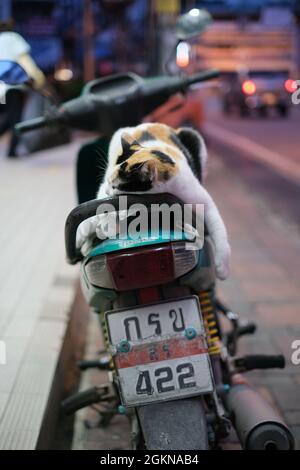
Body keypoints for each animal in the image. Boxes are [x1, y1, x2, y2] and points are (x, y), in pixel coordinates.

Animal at [95, 123, 230, 280]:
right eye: (109, 182)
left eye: (115, 186)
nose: (107, 190)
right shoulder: (103, 188)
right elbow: (104, 206)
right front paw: (109, 226)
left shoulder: (202, 201)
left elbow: (218, 228)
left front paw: (222, 268)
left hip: (195, 139)